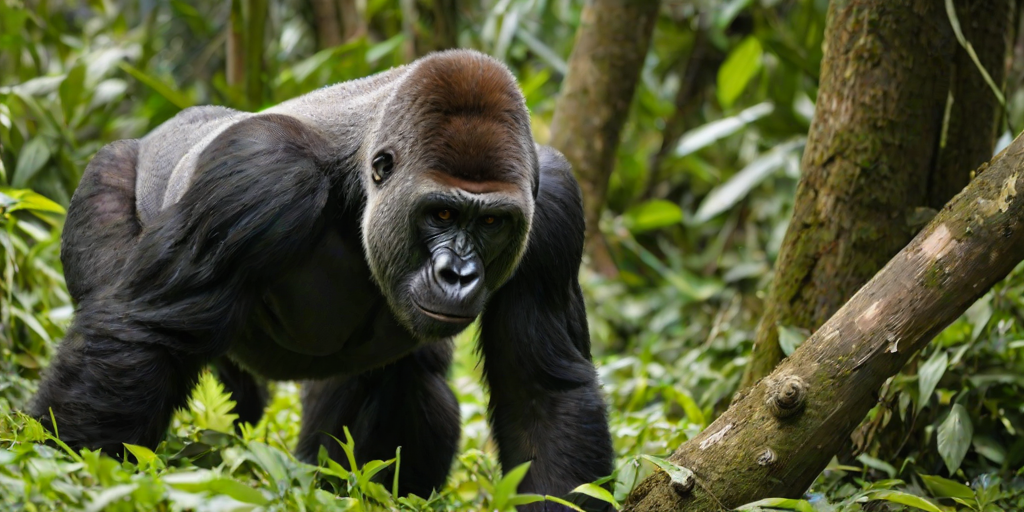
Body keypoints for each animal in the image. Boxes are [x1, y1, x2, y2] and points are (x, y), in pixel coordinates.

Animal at [30, 49, 613, 510]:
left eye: (492, 223)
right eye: (442, 214)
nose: (459, 275)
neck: (358, 178)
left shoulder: (552, 203)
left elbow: (541, 390)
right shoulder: (263, 173)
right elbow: (146, 334)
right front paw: (73, 473)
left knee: (413, 380)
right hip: (110, 171)